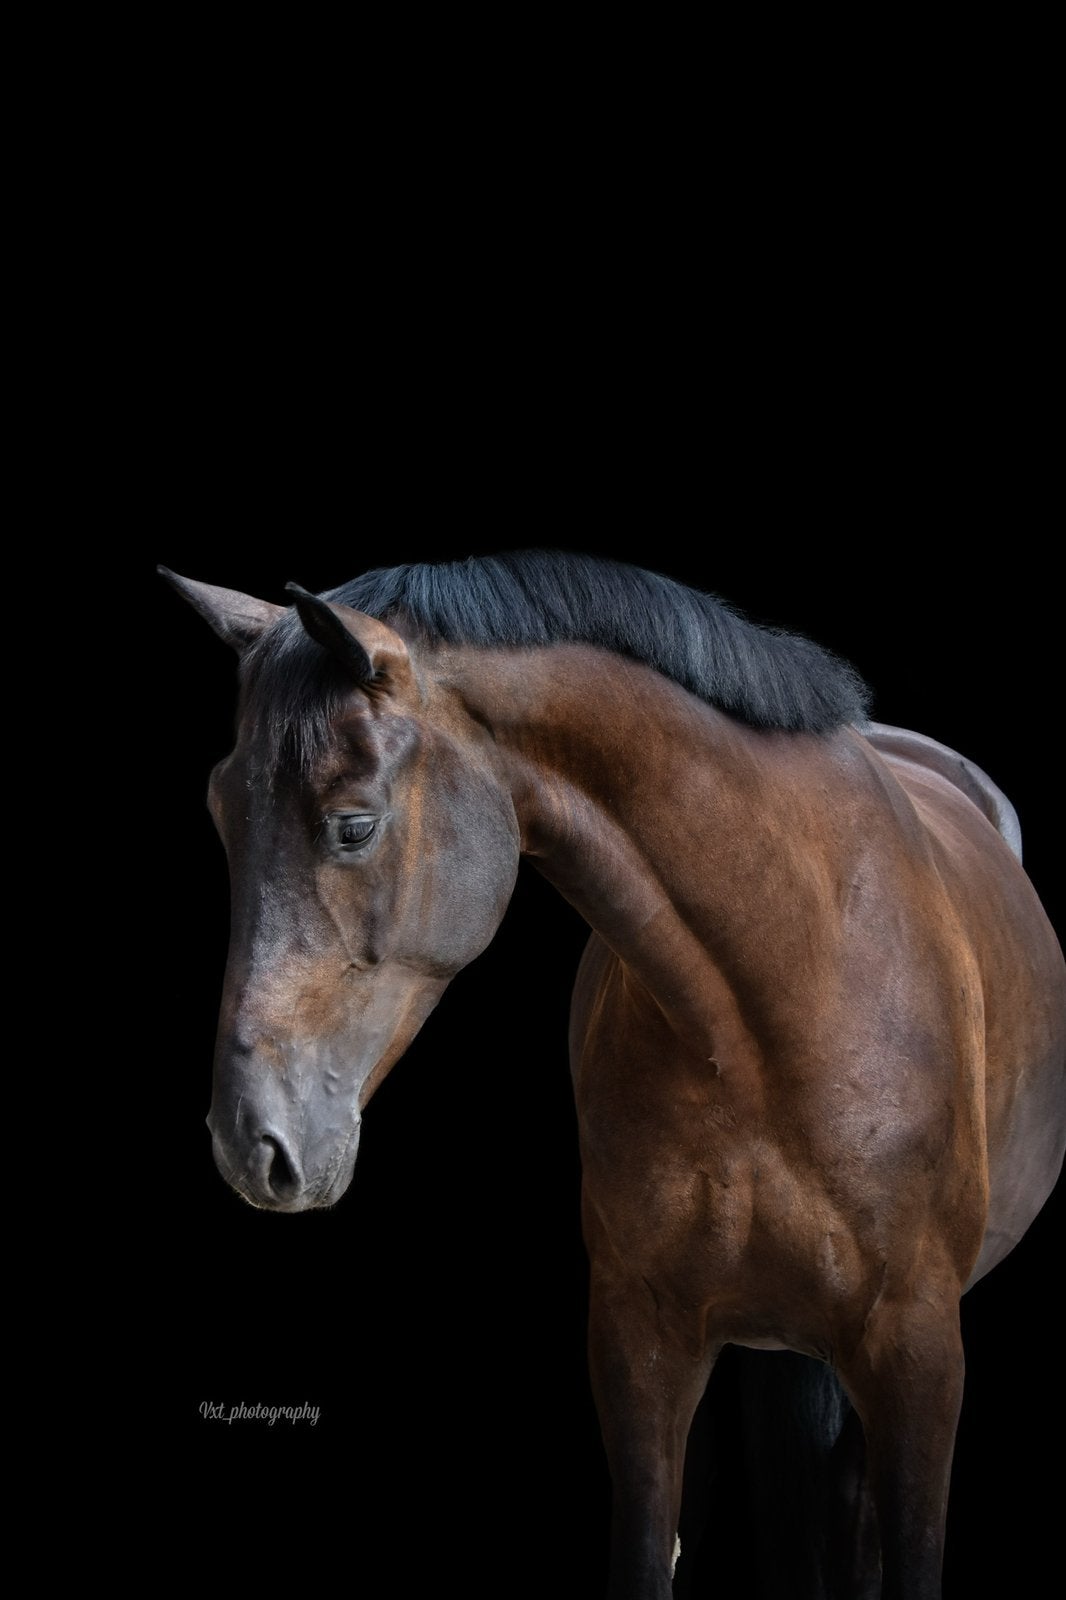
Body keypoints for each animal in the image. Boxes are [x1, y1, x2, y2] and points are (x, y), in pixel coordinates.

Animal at [161, 552, 1065, 1599]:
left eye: (352, 827)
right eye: (221, 809)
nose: (247, 1141)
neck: (785, 990)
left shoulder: (920, 1355)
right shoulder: (641, 1342)